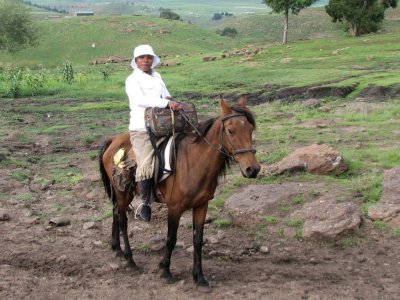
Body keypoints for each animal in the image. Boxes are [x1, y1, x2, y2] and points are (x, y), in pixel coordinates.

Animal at [99, 95, 260, 286]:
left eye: (250, 129)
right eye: (231, 131)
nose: (253, 169)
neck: (194, 162)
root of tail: (113, 141)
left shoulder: (201, 206)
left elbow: (198, 240)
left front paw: (199, 277)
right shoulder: (175, 208)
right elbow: (171, 239)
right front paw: (165, 270)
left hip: (124, 193)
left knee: (116, 212)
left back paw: (117, 249)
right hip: (123, 192)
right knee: (123, 220)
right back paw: (130, 260)